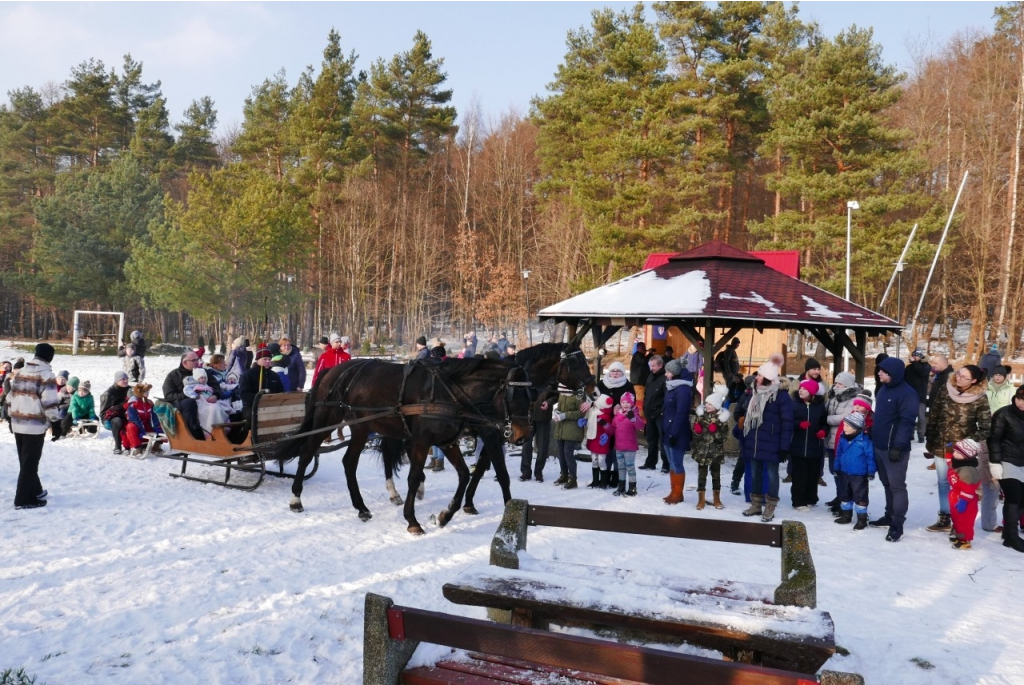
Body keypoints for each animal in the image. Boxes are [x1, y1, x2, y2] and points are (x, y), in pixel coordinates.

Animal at [276, 358, 532, 532]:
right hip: (326, 419)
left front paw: (445, 515)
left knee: (349, 462)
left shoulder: (447, 442)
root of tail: (333, 369)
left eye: (530, 394)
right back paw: (296, 499)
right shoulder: (421, 441)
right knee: (307, 452)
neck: (448, 393)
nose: (523, 435)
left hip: (361, 427)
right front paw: (412, 520)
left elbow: (463, 474)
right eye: (514, 395)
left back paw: (361, 507)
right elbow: (414, 477)